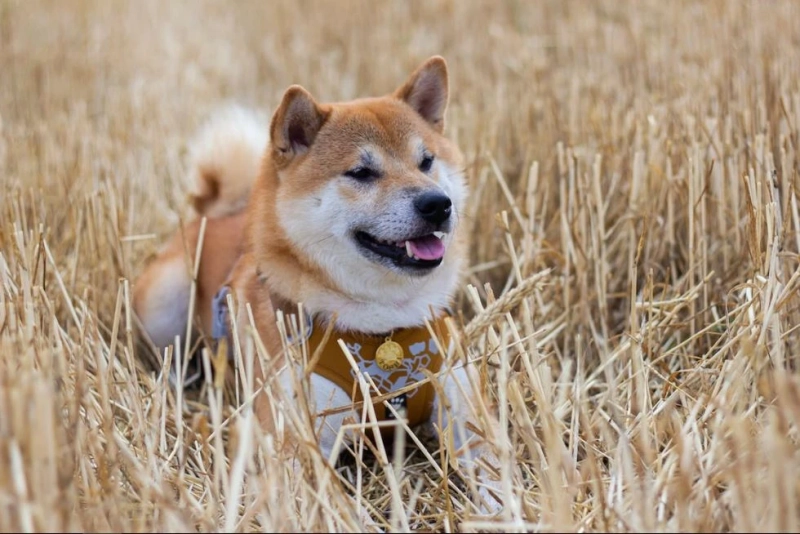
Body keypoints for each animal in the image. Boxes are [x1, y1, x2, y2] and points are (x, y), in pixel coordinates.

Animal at [134, 56, 504, 516]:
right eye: (361, 172)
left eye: (426, 161)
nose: (437, 204)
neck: (384, 327)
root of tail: (216, 213)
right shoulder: (297, 440)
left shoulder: (465, 415)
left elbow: (499, 483)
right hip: (163, 304)